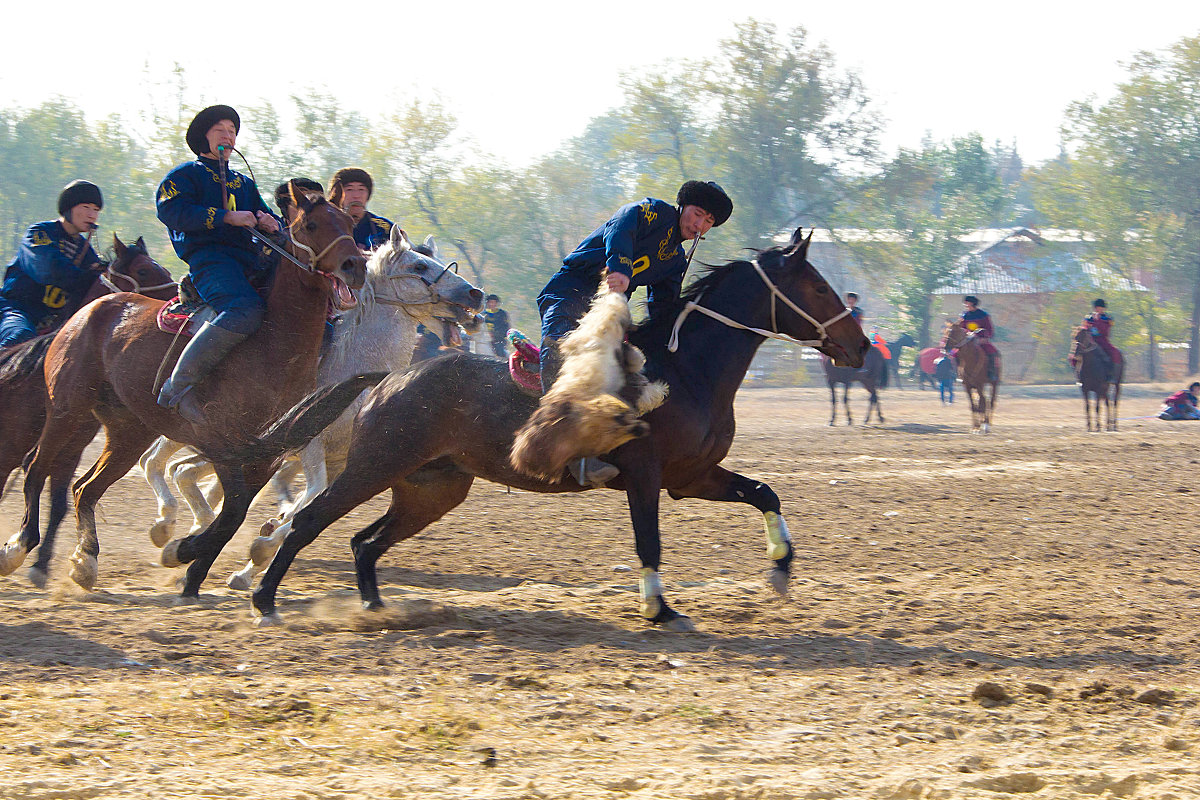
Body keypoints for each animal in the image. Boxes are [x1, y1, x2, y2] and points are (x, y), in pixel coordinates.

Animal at [0, 183, 364, 594]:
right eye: (313, 224)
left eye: (350, 222)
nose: (355, 266)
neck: (270, 345)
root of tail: (87, 313)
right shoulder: (224, 448)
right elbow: (230, 514)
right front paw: (180, 552)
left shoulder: (265, 457)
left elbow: (232, 518)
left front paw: (190, 571)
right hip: (67, 411)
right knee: (36, 469)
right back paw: (18, 549)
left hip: (128, 432)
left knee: (84, 488)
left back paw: (86, 562)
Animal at [144, 225, 487, 587]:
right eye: (420, 266)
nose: (475, 294)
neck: (349, 366)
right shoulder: (308, 445)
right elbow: (308, 498)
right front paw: (257, 550)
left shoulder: (339, 459)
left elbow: (305, 506)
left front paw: (252, 560)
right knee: (158, 463)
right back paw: (169, 528)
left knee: (180, 470)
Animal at [234, 226, 868, 633]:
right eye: (817, 286)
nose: (859, 346)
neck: (684, 371)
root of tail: (390, 377)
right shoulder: (645, 475)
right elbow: (649, 541)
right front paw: (658, 609)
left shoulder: (692, 477)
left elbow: (765, 492)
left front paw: (781, 566)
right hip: (372, 467)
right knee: (309, 522)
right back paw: (265, 600)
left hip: (432, 488)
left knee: (365, 542)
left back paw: (375, 608)